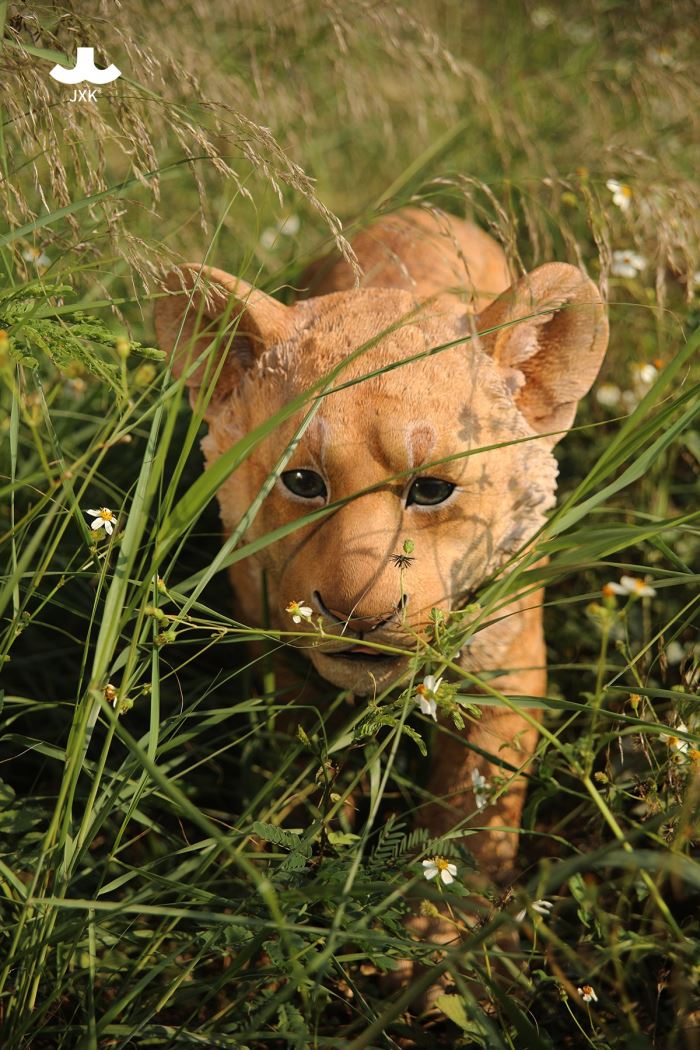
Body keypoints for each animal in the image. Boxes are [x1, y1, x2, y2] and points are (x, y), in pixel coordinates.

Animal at [155, 206, 608, 885]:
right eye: (302, 482)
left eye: (431, 490)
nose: (359, 616)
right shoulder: (283, 662)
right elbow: (300, 770)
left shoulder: (507, 668)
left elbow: (476, 812)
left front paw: (446, 909)